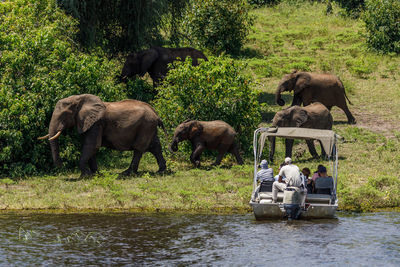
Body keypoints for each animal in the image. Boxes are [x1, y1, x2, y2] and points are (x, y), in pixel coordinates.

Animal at [38, 94, 166, 178]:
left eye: (64, 115)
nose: (62, 166)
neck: (79, 99)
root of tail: (156, 114)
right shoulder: (88, 123)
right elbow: (90, 148)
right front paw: (95, 174)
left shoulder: (96, 123)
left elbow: (92, 145)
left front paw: (86, 176)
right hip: (150, 127)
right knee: (155, 146)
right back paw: (161, 171)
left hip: (146, 126)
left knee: (139, 148)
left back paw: (127, 173)